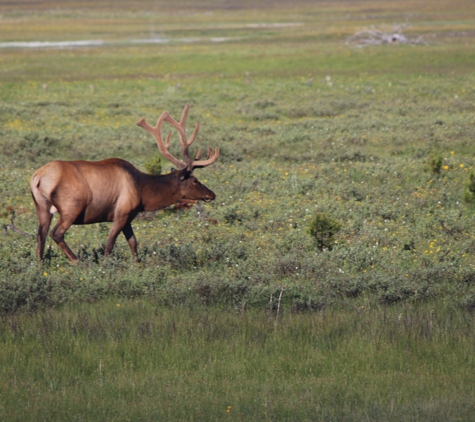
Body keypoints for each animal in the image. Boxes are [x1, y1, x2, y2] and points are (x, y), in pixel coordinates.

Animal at [30, 104, 220, 264]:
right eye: (195, 180)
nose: (212, 194)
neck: (143, 193)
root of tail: (38, 177)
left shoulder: (129, 216)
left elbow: (133, 242)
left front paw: (137, 265)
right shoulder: (122, 212)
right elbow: (110, 243)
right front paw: (106, 265)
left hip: (42, 207)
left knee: (40, 235)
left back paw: (40, 265)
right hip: (71, 207)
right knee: (56, 233)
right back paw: (78, 261)